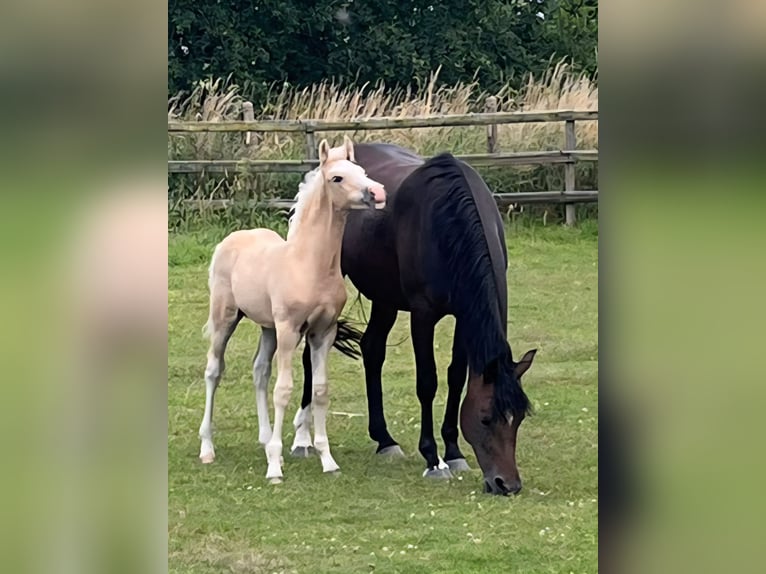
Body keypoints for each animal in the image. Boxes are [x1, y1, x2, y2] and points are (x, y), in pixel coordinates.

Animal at [197, 136, 386, 483]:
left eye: (361, 170)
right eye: (336, 177)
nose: (377, 193)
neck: (309, 265)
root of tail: (230, 240)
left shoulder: (323, 332)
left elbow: (320, 390)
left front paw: (327, 459)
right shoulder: (289, 330)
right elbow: (283, 390)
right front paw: (274, 468)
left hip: (267, 327)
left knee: (259, 371)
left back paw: (264, 439)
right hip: (226, 317)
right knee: (214, 370)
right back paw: (208, 448)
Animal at [295, 143, 536, 495]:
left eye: (518, 418)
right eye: (485, 418)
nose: (507, 484)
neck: (448, 222)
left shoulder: (463, 316)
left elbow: (455, 377)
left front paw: (453, 452)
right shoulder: (423, 315)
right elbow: (428, 382)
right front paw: (433, 459)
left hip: (384, 297)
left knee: (372, 350)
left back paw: (385, 440)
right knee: (308, 356)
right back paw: (302, 441)